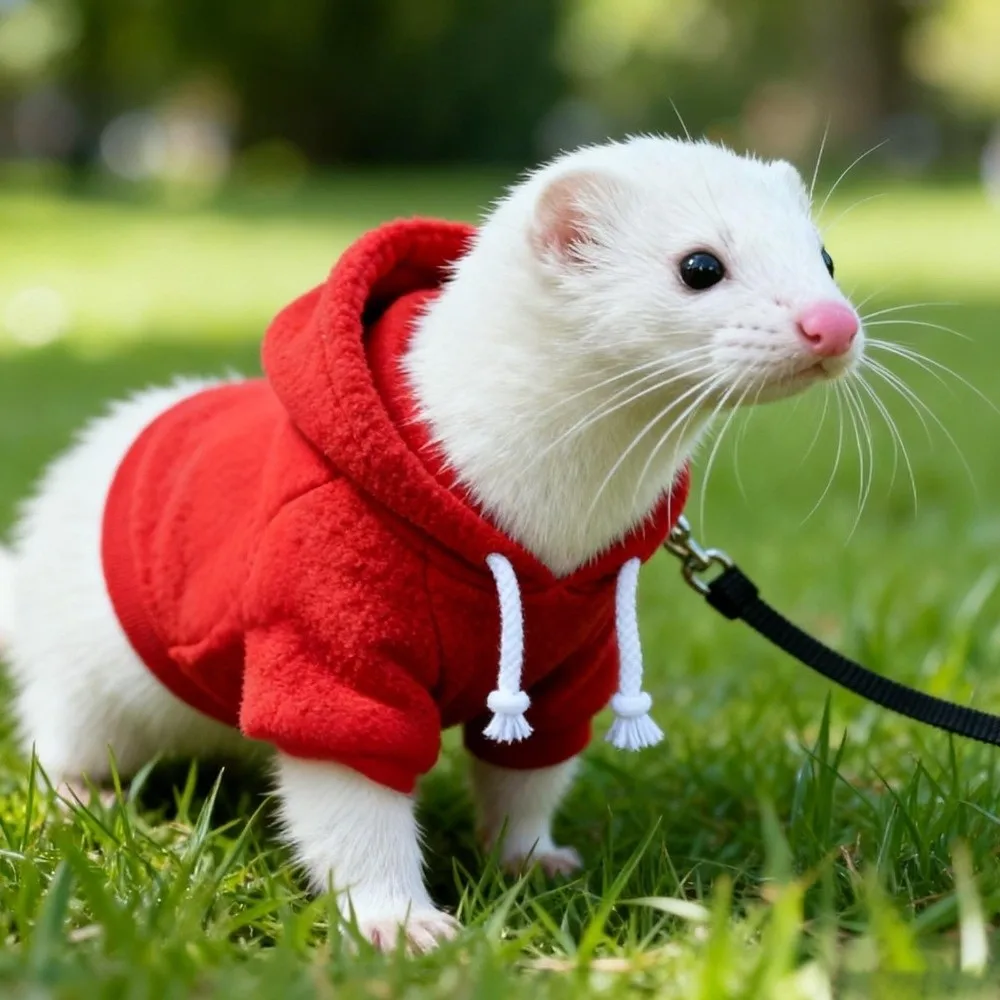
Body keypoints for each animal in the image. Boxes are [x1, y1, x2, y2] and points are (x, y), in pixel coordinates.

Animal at [0, 135, 863, 951]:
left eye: (824, 253)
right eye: (699, 265)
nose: (835, 323)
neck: (549, 525)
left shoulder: (573, 660)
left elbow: (529, 775)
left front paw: (533, 859)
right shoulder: (329, 632)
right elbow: (353, 805)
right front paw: (402, 923)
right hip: (84, 683)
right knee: (56, 735)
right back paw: (83, 799)